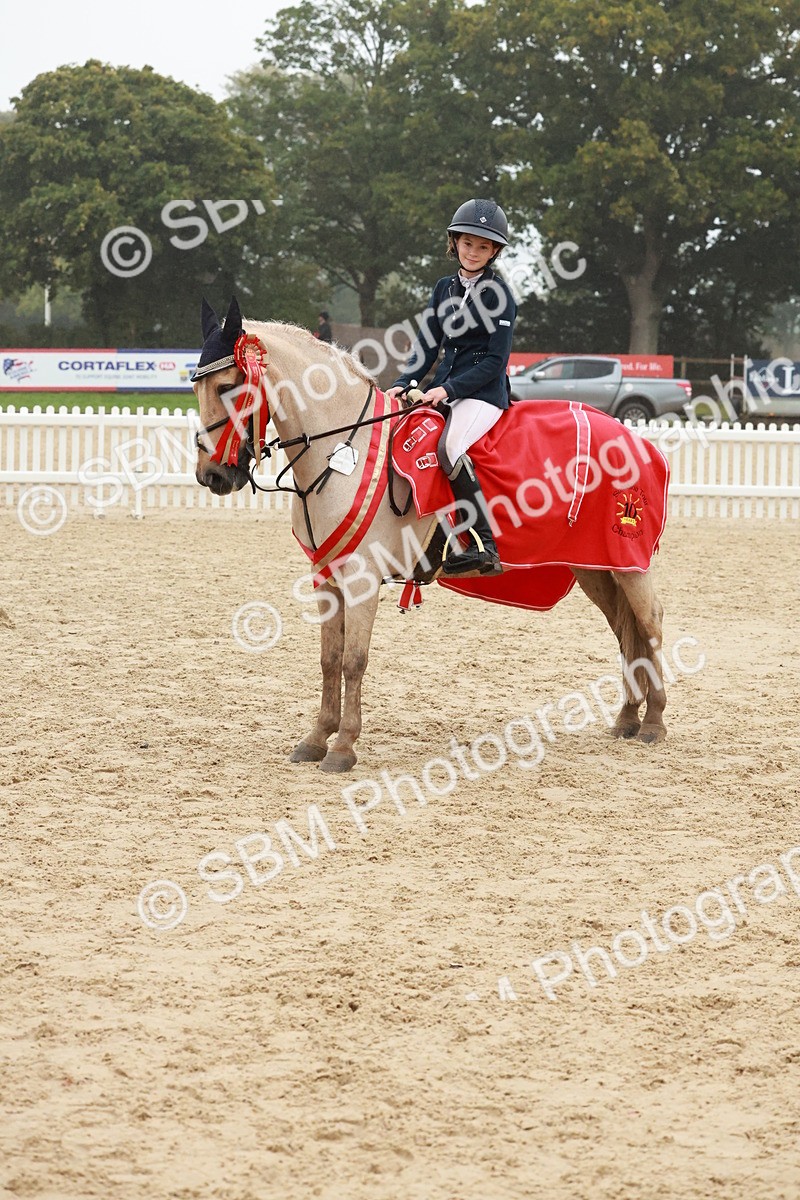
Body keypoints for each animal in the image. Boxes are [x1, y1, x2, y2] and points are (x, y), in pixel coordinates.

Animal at [193, 299, 668, 773]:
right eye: (199, 388)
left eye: (229, 386)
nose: (211, 476)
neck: (343, 449)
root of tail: (638, 440)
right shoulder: (326, 576)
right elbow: (329, 660)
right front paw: (316, 738)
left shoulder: (362, 580)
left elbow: (354, 661)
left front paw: (343, 746)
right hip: (596, 568)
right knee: (625, 631)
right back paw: (627, 718)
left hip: (629, 563)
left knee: (649, 624)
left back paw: (653, 723)